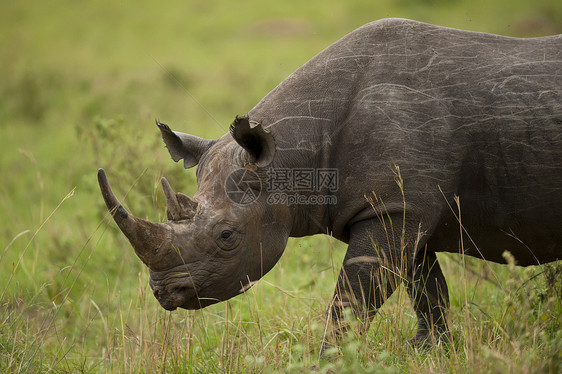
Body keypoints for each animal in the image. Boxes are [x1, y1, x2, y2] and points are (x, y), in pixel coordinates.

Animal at [99, 19, 560, 348]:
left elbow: (354, 295)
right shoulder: (406, 206)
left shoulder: (391, 209)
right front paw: (430, 351)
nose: (165, 293)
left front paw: (333, 358)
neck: (286, 157)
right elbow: (425, 288)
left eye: (227, 236)